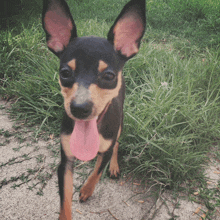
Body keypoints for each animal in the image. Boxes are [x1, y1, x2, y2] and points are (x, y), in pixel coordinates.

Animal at [42, 0, 146, 218]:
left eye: (108, 76)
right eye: (65, 73)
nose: (79, 108)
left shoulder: (106, 146)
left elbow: (97, 171)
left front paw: (87, 189)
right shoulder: (65, 161)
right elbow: (64, 202)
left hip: (120, 123)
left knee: (116, 144)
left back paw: (113, 166)